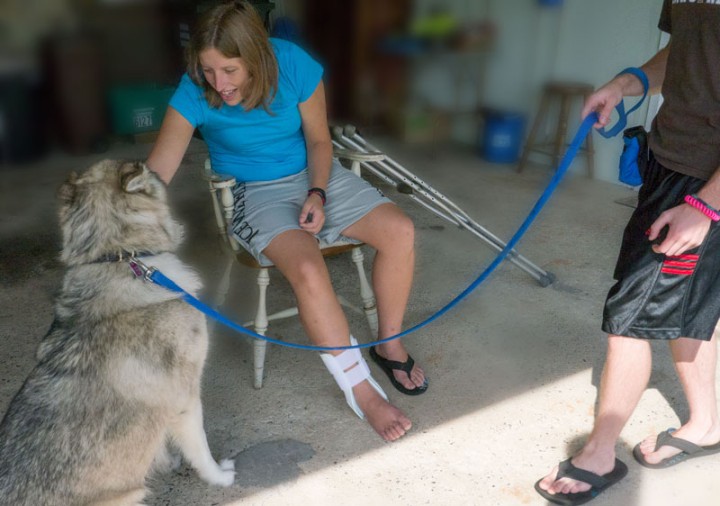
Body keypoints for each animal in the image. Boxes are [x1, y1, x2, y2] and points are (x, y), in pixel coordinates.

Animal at [0, 161, 235, 506]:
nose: (157, 169)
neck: (119, 255)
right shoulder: (186, 398)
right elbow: (201, 449)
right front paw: (218, 477)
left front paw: (162, 460)